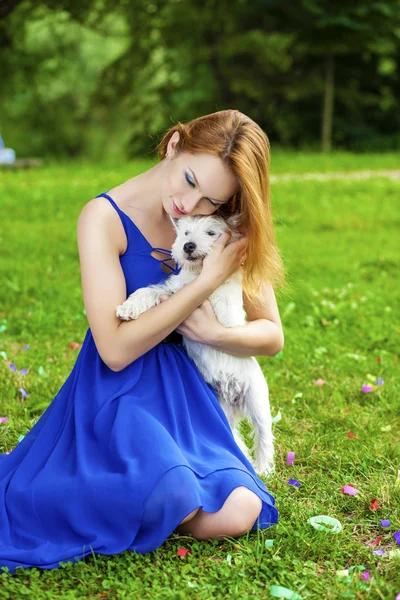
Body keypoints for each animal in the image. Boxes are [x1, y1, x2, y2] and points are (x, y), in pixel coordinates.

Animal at [115, 213, 276, 476]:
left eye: (211, 233)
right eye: (186, 233)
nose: (188, 246)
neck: (198, 274)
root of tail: (232, 396)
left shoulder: (221, 305)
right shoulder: (169, 291)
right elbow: (149, 291)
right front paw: (128, 309)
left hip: (257, 400)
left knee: (264, 438)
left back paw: (262, 470)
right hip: (221, 410)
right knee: (235, 440)